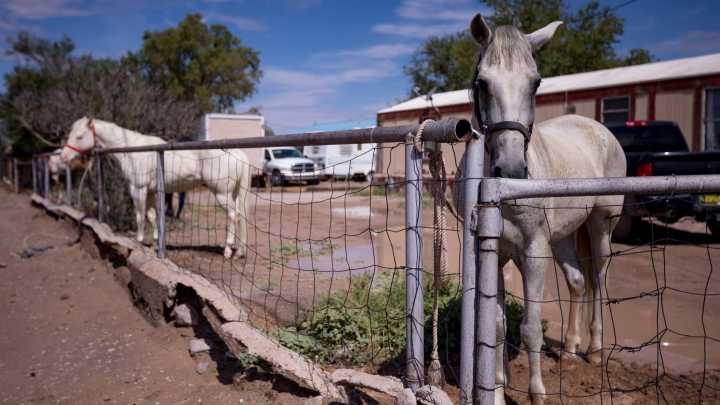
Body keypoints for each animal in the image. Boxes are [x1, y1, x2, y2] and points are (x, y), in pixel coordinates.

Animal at [60, 117, 251, 259]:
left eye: (79, 136)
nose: (63, 157)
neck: (133, 151)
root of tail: (238, 154)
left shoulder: (138, 189)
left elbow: (139, 216)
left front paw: (138, 242)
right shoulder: (151, 192)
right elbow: (152, 216)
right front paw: (155, 244)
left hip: (222, 194)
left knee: (233, 215)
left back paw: (227, 251)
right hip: (234, 194)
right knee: (240, 216)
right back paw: (239, 252)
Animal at [453, 15, 626, 405]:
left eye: (536, 83)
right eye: (482, 83)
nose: (511, 169)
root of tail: (597, 129)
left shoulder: (533, 252)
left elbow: (530, 327)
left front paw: (536, 394)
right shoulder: (496, 253)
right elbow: (497, 327)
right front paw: (497, 390)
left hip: (600, 226)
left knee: (600, 279)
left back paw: (595, 350)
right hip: (563, 236)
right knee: (578, 281)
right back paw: (570, 350)